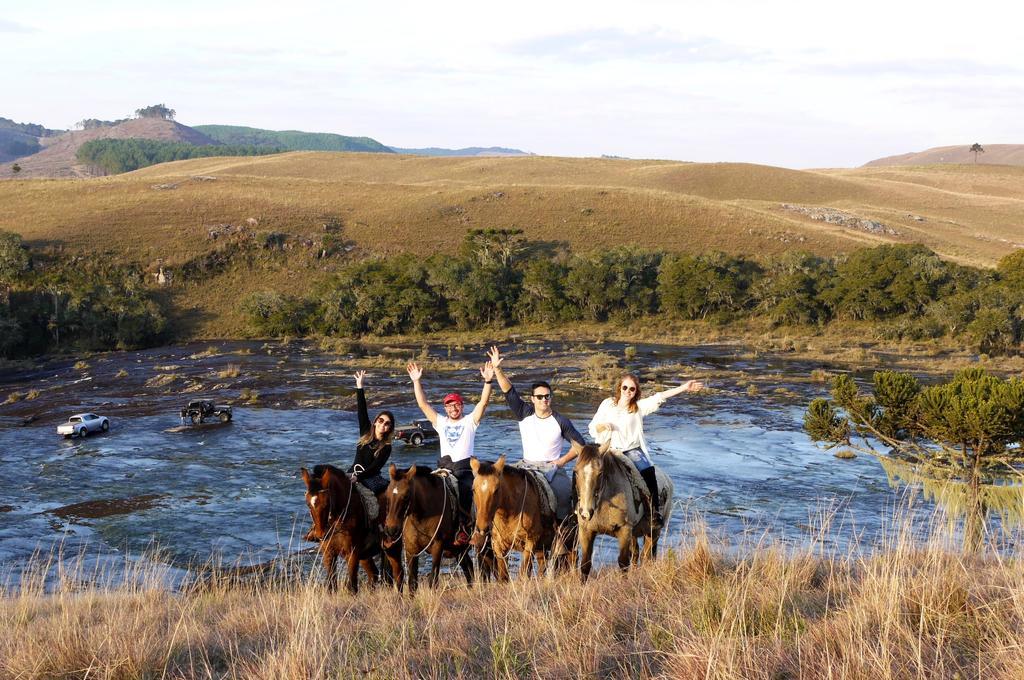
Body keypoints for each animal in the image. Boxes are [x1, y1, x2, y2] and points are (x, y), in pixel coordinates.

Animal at [303, 464, 385, 593]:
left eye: (327, 503)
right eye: (308, 504)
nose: (321, 534)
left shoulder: (352, 553)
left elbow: (352, 587)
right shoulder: (328, 553)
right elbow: (331, 585)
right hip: (365, 555)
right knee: (373, 575)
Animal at [577, 444, 671, 581]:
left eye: (600, 473)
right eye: (576, 472)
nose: (585, 512)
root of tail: (667, 479)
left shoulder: (624, 530)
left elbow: (623, 562)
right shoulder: (586, 530)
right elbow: (585, 564)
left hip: (653, 531)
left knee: (646, 556)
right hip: (635, 533)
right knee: (637, 554)